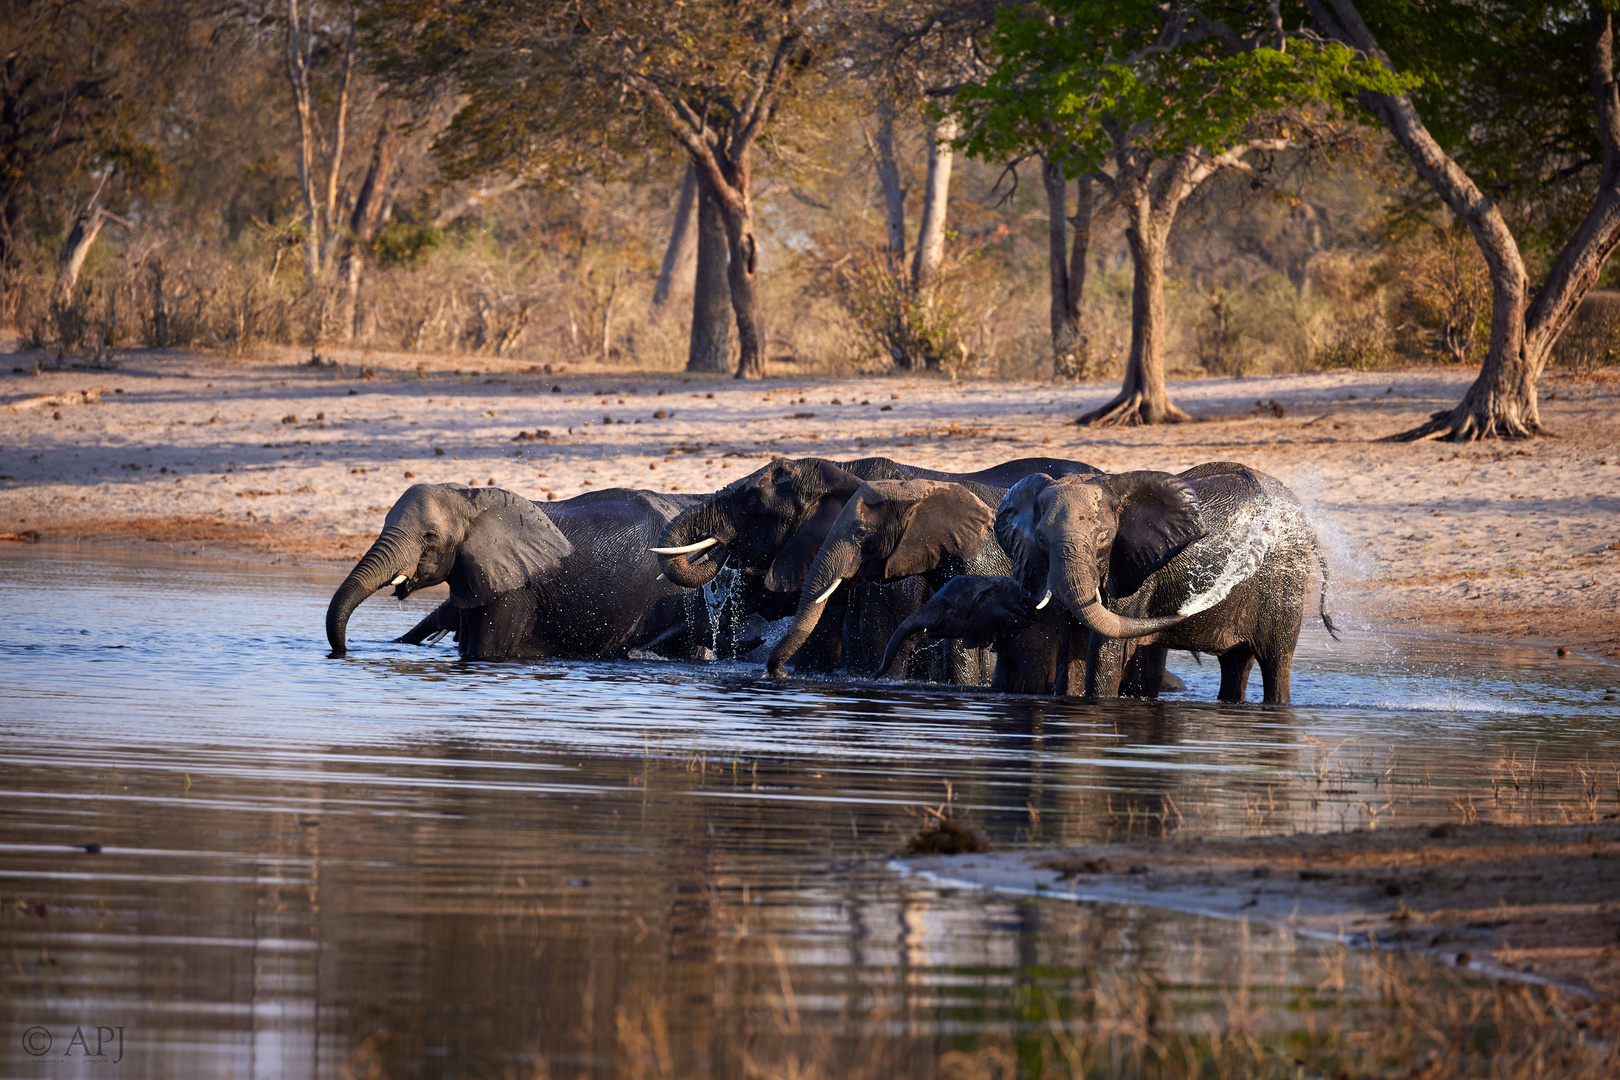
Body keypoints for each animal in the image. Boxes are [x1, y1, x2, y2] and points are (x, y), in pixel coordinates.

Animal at [991, 463, 1334, 702]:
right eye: (1041, 540)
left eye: (1103, 539)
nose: (1184, 609)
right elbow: (1072, 643)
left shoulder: (1137, 570)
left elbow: (1106, 647)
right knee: (1235, 665)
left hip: (1285, 578)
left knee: (1276, 662)